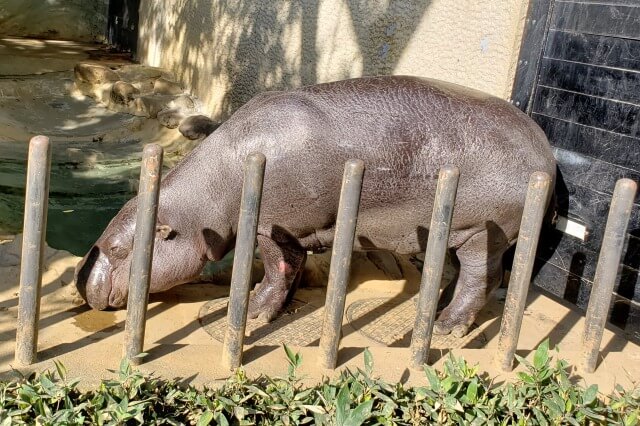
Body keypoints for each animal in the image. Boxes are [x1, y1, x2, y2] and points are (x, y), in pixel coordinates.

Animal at [75, 75, 556, 336]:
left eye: (117, 249)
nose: (81, 283)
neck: (204, 200)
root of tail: (545, 148)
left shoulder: (274, 226)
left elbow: (278, 268)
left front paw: (255, 311)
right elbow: (290, 269)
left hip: (482, 232)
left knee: (481, 277)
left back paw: (446, 326)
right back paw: (434, 308)